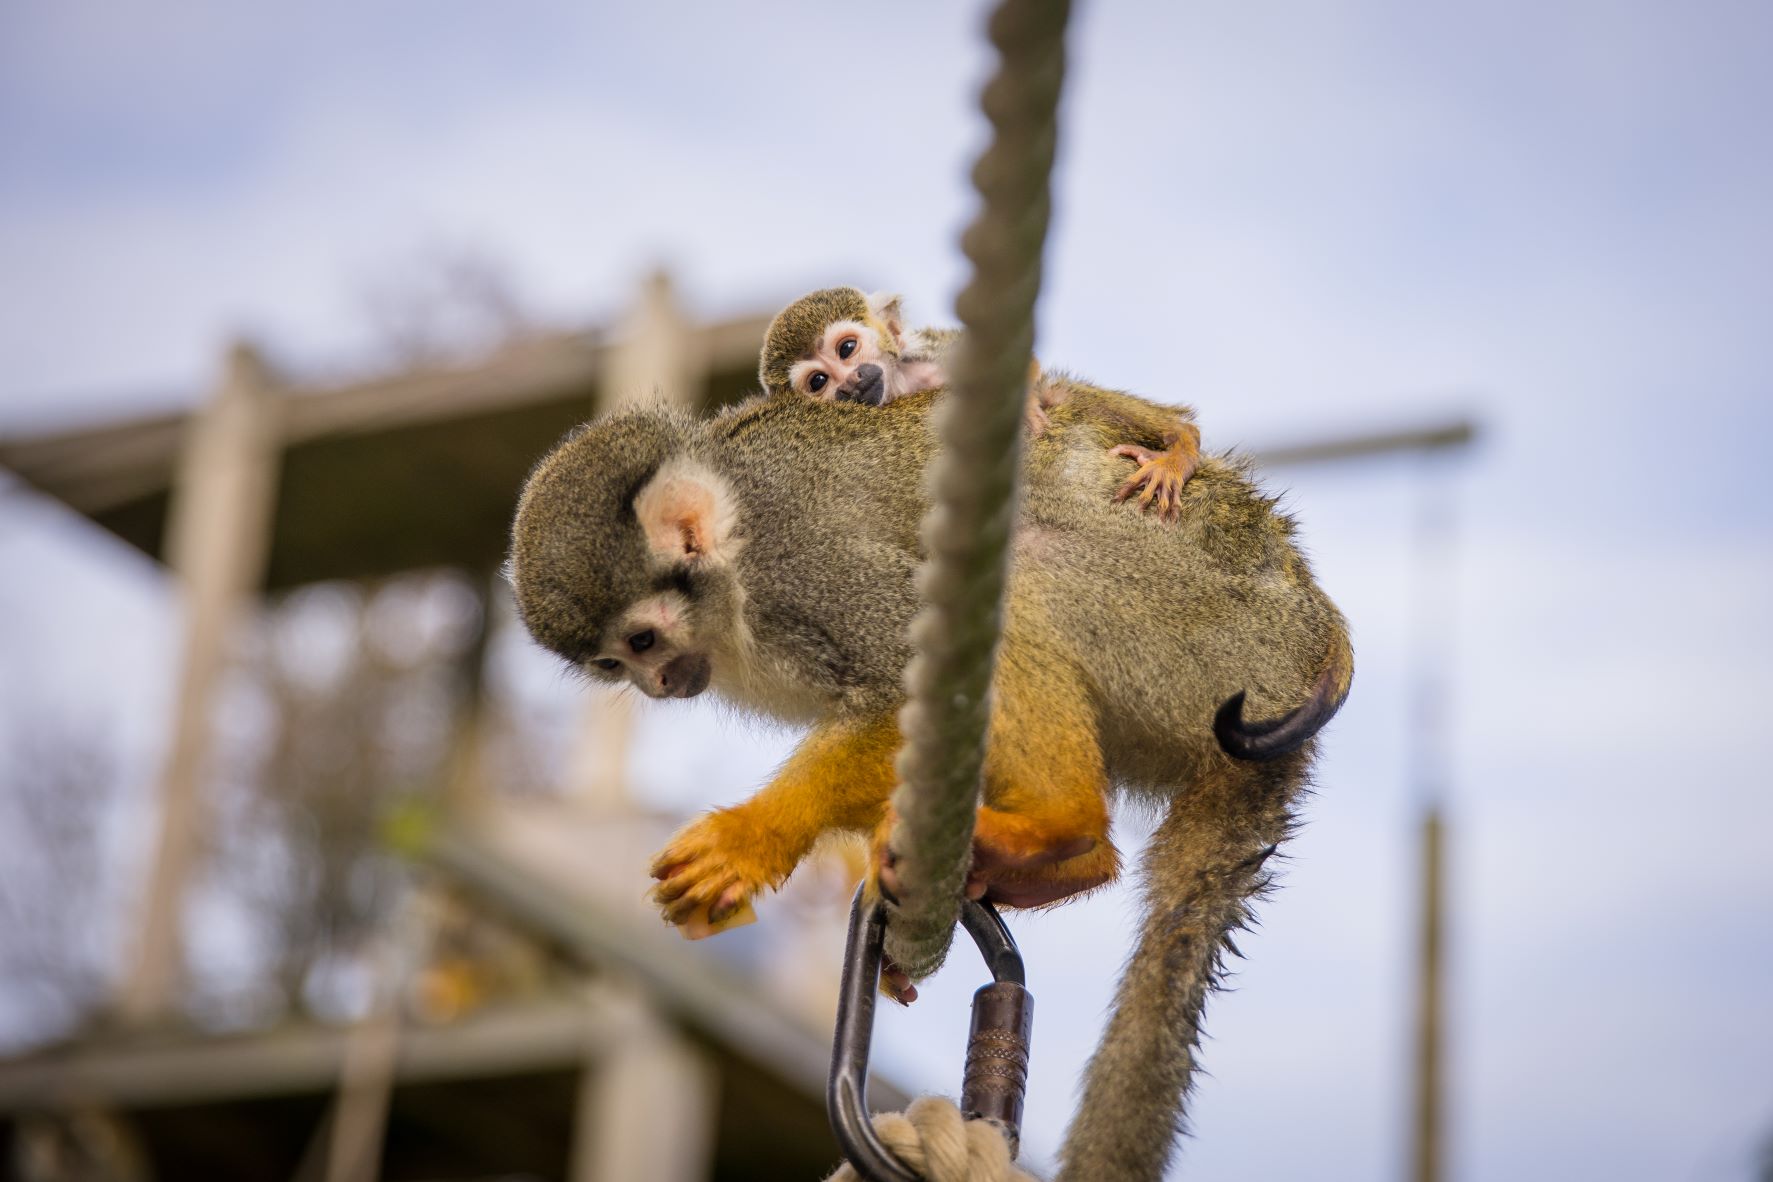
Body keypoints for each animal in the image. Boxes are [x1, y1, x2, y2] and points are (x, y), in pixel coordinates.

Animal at [514, 386, 1354, 1182]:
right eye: (615, 663)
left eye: (643, 640)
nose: (655, 685)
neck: (734, 570)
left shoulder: (809, 572)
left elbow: (898, 687)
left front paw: (754, 837)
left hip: (1203, 628)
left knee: (1022, 576)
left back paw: (1064, 830)